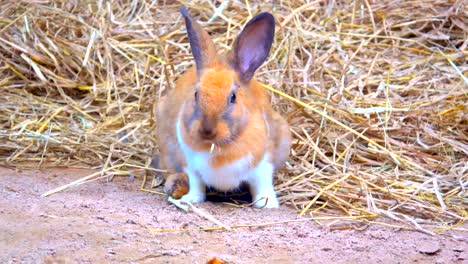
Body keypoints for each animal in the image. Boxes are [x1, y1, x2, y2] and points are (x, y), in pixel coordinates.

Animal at [155, 6, 290, 208]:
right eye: (196, 94)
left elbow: (262, 185)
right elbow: (197, 184)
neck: (218, 146)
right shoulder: (190, 165)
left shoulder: (264, 164)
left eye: (232, 97)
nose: (207, 130)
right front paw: (191, 199)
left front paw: (267, 204)